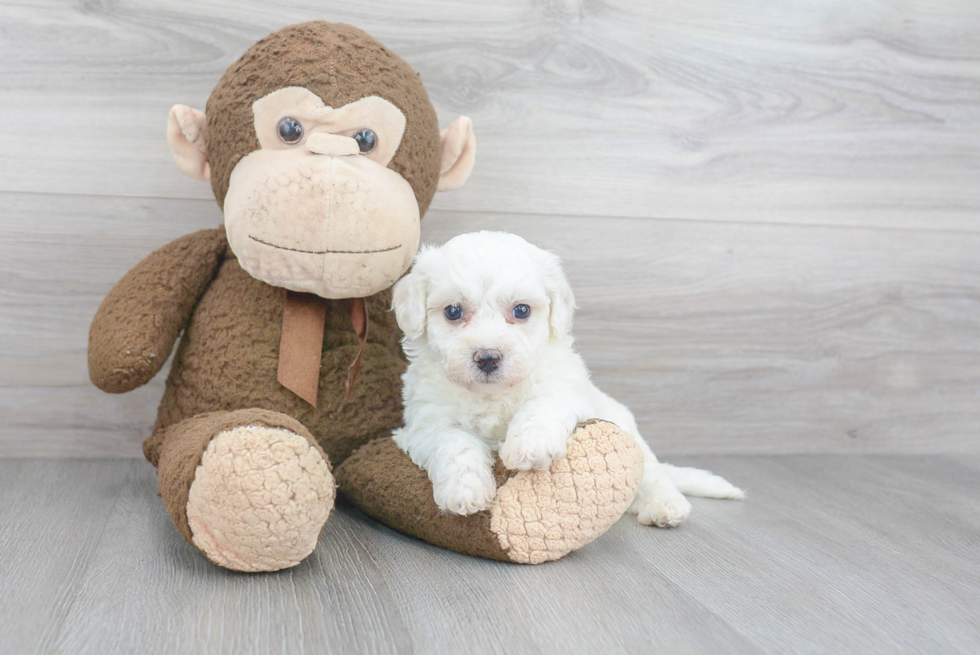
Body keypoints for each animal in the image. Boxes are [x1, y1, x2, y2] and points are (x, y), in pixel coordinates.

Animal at [390, 231, 744, 528]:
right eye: (453, 312)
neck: (492, 394)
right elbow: (454, 443)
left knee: (653, 475)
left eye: (521, 310)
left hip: (627, 431)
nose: (488, 357)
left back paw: (665, 506)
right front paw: (465, 492)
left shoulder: (564, 389)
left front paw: (529, 447)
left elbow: (541, 407)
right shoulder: (426, 423)